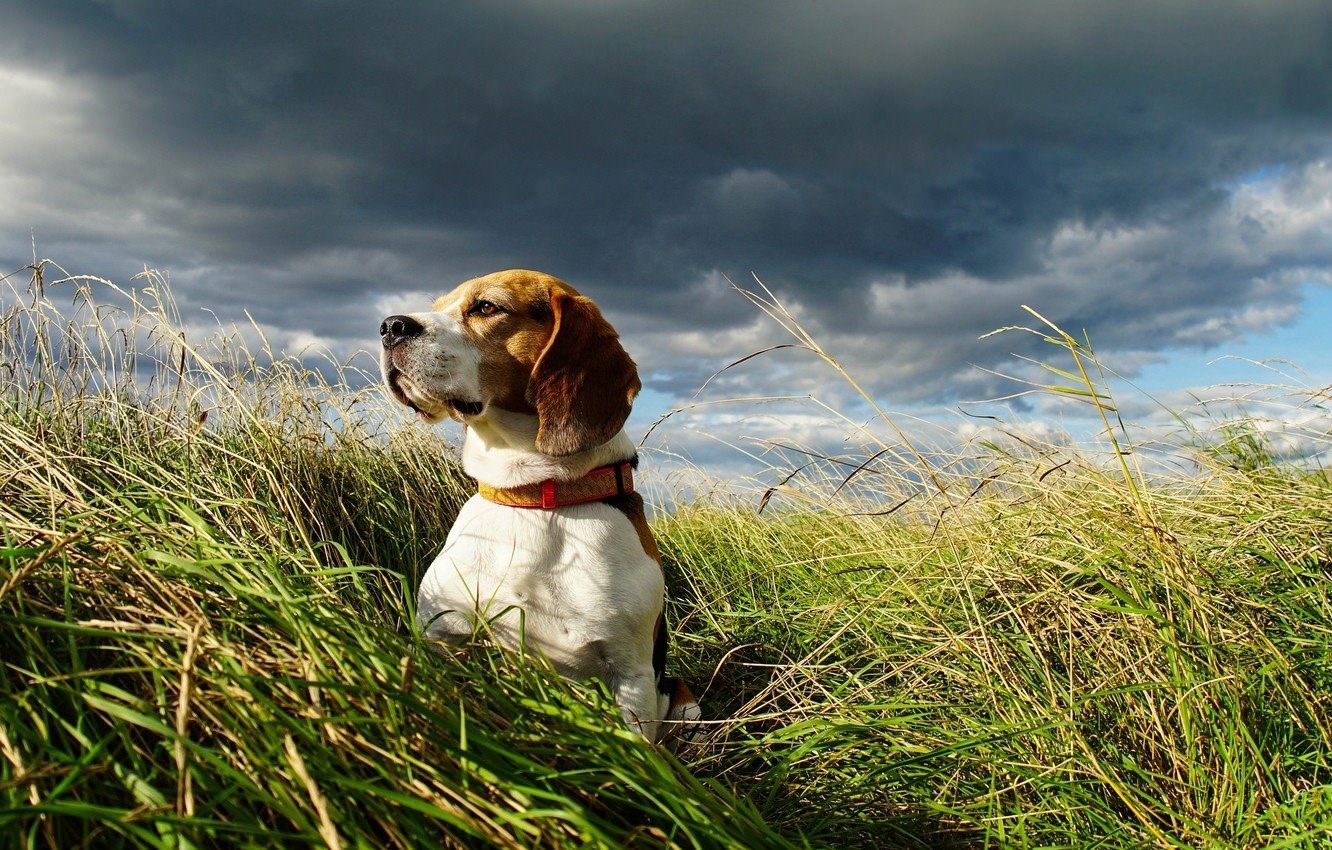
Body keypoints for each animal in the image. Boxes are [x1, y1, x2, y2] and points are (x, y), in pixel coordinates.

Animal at [378, 269, 697, 740]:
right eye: (437, 305)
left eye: (486, 307)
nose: (389, 326)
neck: (533, 497)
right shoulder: (442, 635)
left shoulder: (633, 675)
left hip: (680, 695)